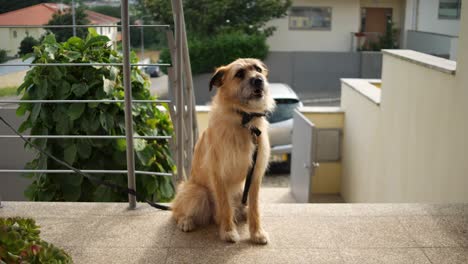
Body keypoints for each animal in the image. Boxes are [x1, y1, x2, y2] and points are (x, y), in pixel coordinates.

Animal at [171, 57, 274, 243]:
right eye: (239, 73)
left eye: (258, 69)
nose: (258, 80)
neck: (244, 120)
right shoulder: (219, 173)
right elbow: (225, 206)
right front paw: (228, 231)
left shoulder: (255, 175)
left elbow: (255, 208)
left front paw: (257, 232)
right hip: (197, 192)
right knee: (177, 212)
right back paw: (186, 221)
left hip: (240, 192)